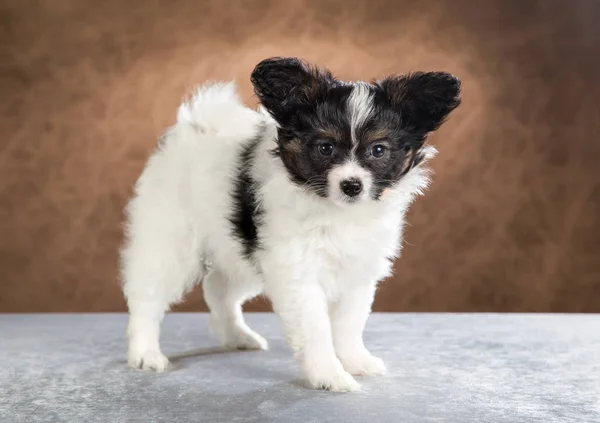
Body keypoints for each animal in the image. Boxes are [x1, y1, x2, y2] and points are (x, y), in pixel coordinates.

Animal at [120, 55, 460, 390]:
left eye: (378, 150)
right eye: (325, 148)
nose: (352, 186)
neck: (336, 212)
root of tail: (194, 126)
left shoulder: (356, 272)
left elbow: (349, 324)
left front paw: (355, 361)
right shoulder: (298, 274)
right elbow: (316, 330)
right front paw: (329, 375)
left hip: (241, 249)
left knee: (219, 289)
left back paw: (235, 336)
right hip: (173, 241)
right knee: (147, 297)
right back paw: (145, 353)